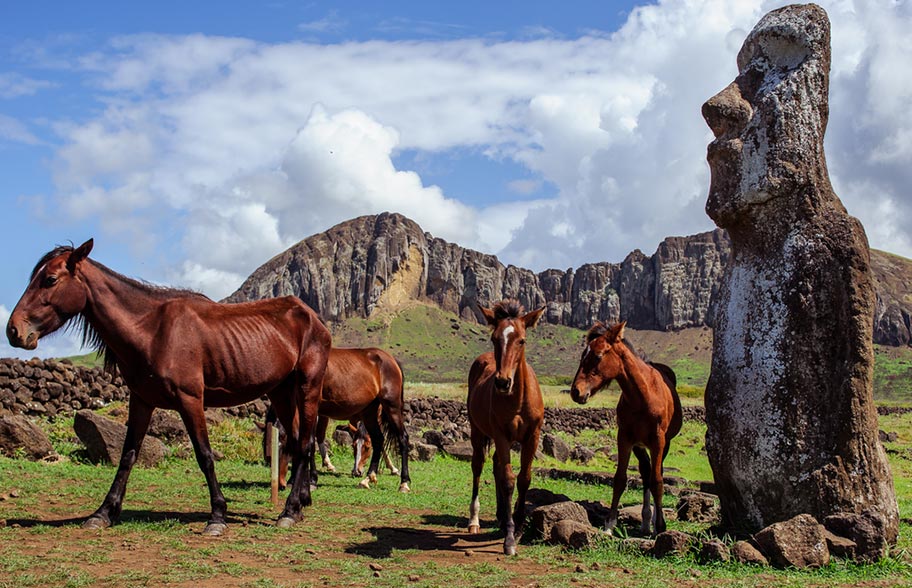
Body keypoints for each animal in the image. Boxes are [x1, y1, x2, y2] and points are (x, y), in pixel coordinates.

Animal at [5, 240, 334, 536]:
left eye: (50, 279)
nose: (14, 331)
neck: (152, 331)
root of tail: (312, 317)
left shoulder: (190, 400)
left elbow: (204, 455)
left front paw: (217, 516)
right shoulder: (141, 401)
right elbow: (127, 456)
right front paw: (103, 513)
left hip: (307, 389)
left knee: (305, 443)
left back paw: (289, 511)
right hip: (281, 393)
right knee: (296, 442)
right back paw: (300, 503)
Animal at [466, 300, 544, 552]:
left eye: (522, 340)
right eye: (494, 338)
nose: (502, 382)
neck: (518, 399)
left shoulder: (532, 437)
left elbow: (524, 478)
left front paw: (517, 526)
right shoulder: (501, 436)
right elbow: (509, 480)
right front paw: (509, 537)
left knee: (496, 466)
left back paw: (501, 516)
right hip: (477, 432)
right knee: (479, 466)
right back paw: (474, 520)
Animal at [568, 322, 680, 536]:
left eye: (598, 356)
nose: (576, 392)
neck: (643, 396)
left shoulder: (658, 440)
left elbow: (658, 481)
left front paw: (660, 527)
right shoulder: (625, 438)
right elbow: (620, 479)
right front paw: (609, 525)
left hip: (664, 444)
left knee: (656, 473)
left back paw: (655, 521)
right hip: (639, 446)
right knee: (645, 472)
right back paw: (645, 522)